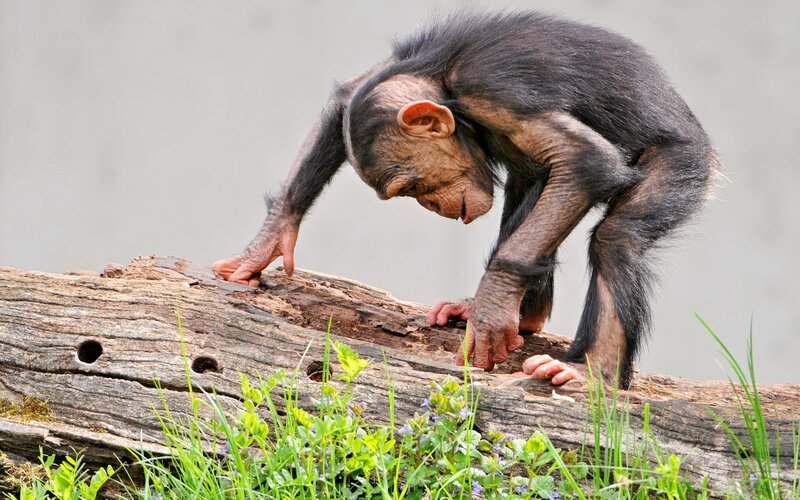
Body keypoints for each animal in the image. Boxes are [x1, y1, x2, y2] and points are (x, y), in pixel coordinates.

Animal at [213, 12, 719, 388]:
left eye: (410, 186)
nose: (430, 205)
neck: (446, 84)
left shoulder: (492, 91)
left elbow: (585, 160)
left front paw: (491, 308)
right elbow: (347, 95)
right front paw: (266, 242)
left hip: (684, 161)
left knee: (616, 238)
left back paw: (592, 371)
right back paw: (525, 315)